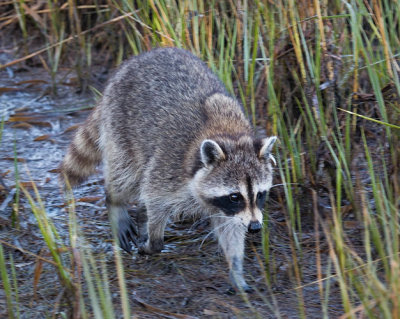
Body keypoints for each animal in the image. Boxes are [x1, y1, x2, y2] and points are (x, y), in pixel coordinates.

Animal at [61, 47, 276, 292]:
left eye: (260, 194)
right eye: (235, 196)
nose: (256, 227)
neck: (229, 135)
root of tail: (136, 59)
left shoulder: (228, 208)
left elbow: (231, 228)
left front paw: (236, 267)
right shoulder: (168, 167)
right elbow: (155, 199)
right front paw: (153, 240)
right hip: (120, 124)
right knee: (125, 172)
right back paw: (115, 201)